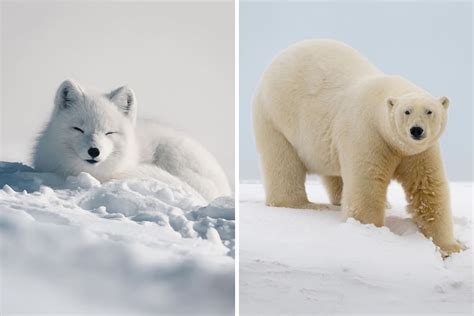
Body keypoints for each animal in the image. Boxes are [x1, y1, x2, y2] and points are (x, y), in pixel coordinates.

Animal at [254, 39, 464, 254]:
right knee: (283, 164)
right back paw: (306, 205)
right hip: (276, 118)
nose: (416, 130)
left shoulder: (420, 152)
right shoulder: (368, 134)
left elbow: (427, 187)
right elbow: (367, 184)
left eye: (429, 111)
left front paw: (452, 246)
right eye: (406, 111)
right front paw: (370, 231)